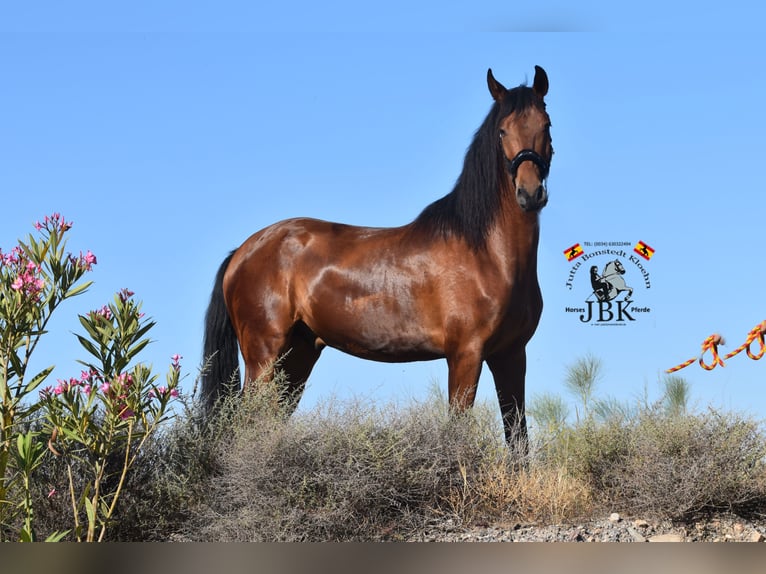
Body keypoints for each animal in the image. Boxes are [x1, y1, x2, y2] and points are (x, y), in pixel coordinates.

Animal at [201, 67, 556, 446]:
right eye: (502, 130)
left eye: (546, 124)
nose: (530, 193)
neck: (487, 255)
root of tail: (243, 251)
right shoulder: (465, 354)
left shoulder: (511, 355)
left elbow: (518, 439)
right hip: (264, 357)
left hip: (297, 356)